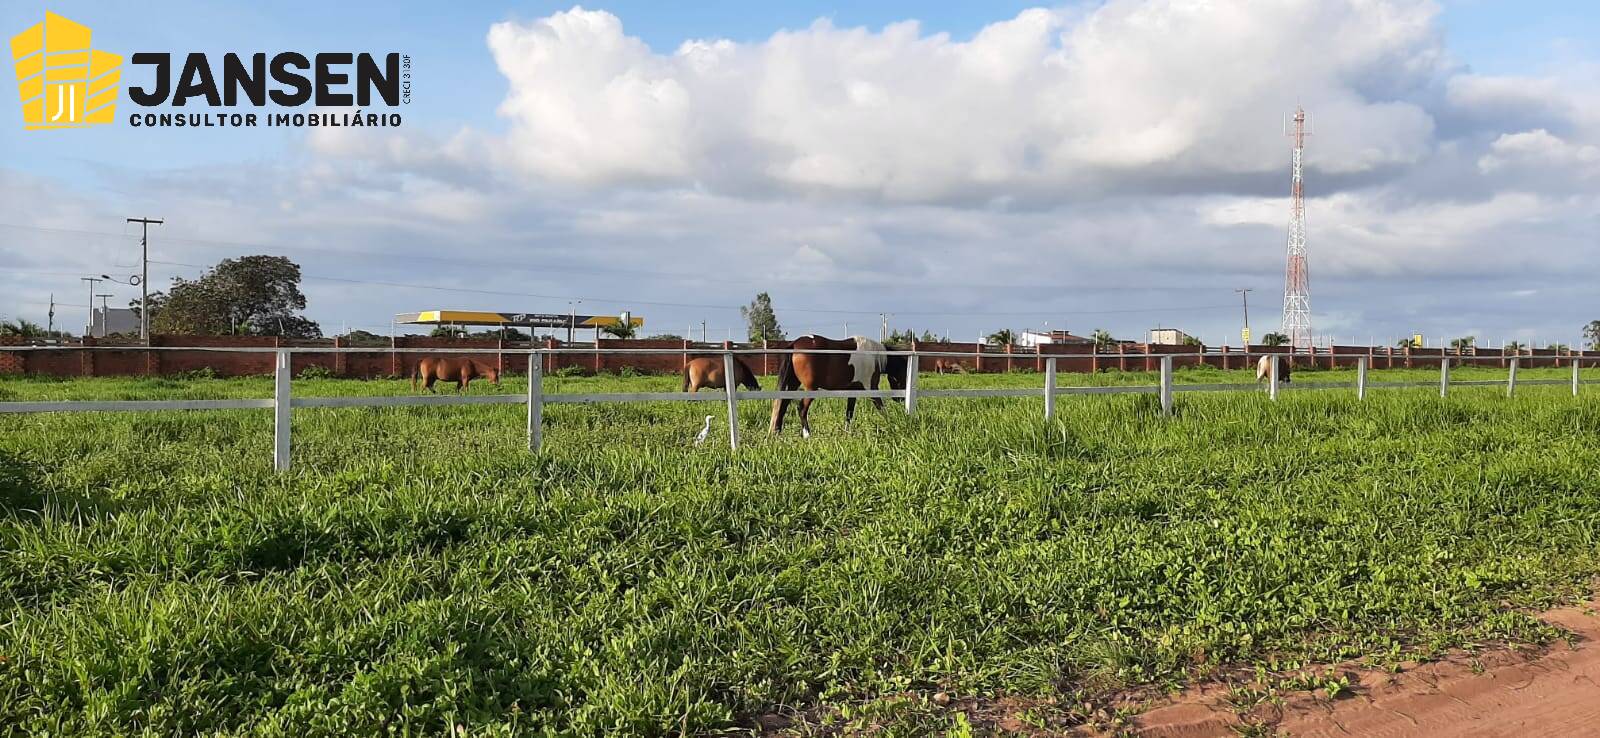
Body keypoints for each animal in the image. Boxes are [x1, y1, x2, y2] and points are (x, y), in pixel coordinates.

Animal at [774, 334, 915, 438]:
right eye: (904, 374)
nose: (899, 399)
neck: (873, 356)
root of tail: (795, 344)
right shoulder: (872, 389)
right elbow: (882, 409)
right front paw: (891, 424)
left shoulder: (853, 391)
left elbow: (849, 413)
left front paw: (847, 433)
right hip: (810, 389)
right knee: (801, 408)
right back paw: (807, 434)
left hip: (793, 384)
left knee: (783, 405)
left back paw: (777, 432)